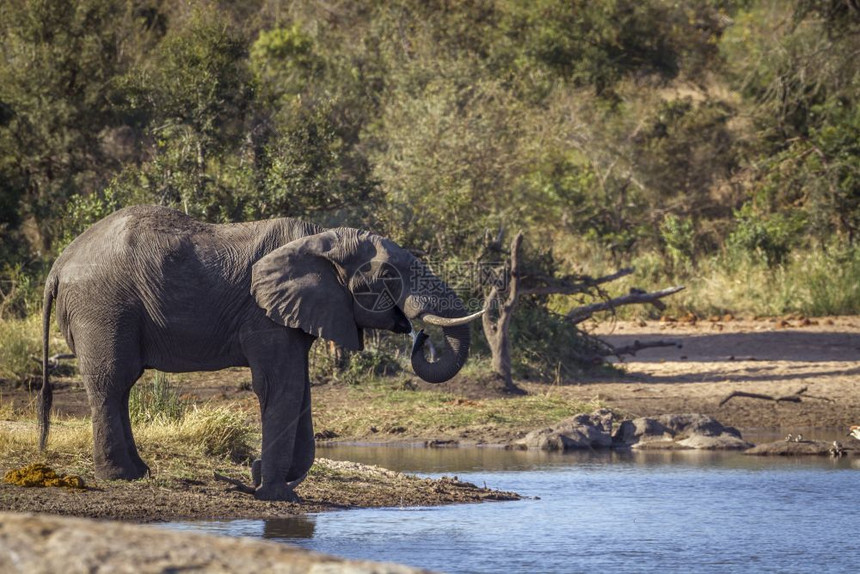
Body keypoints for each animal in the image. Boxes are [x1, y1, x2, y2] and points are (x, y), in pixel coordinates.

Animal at [40, 205, 480, 502]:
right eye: (388, 275)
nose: (419, 335)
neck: (322, 239)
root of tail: (58, 265)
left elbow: (299, 390)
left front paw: (262, 478)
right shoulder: (263, 314)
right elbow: (279, 387)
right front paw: (275, 494)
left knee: (118, 387)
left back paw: (138, 473)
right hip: (102, 307)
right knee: (113, 382)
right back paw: (120, 477)